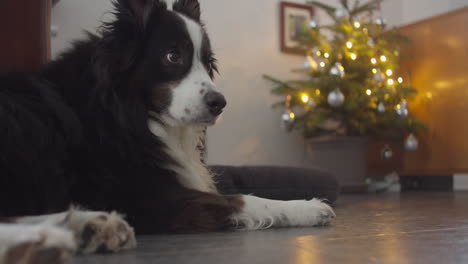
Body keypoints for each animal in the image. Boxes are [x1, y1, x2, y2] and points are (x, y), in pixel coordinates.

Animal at [0, 0, 336, 262]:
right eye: (173, 56)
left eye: (208, 62)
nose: (220, 103)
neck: (124, 111)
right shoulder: (148, 196)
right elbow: (243, 199)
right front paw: (308, 208)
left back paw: (86, 227)